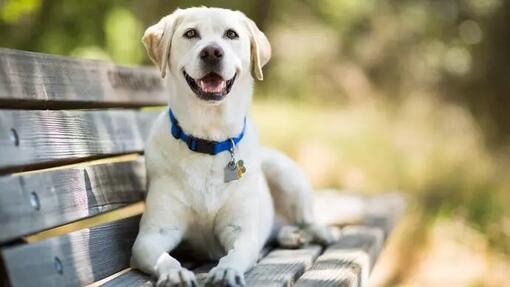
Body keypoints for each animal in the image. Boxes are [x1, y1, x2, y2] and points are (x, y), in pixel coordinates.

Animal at [130, 7, 334, 287]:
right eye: (190, 33)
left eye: (231, 34)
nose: (212, 52)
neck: (209, 141)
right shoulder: (152, 235)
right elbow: (164, 257)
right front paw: (174, 272)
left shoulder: (241, 231)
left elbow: (237, 253)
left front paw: (226, 270)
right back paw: (290, 235)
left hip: (286, 174)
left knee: (306, 219)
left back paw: (319, 232)